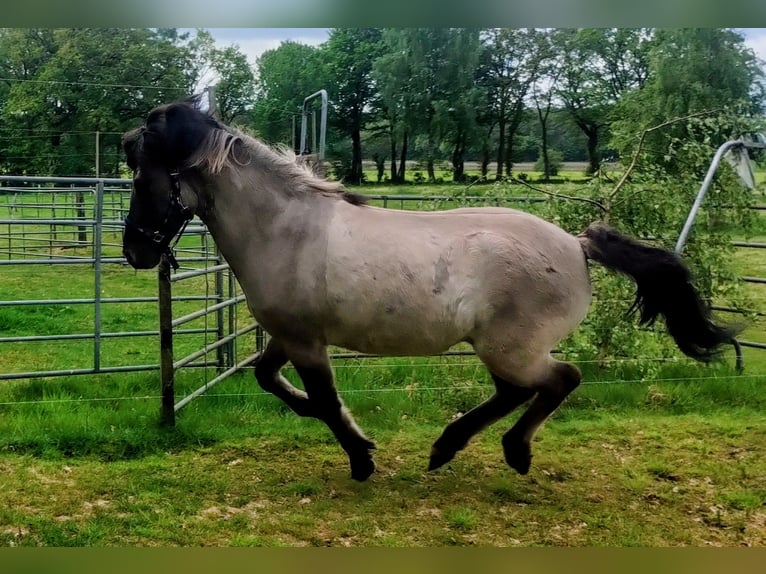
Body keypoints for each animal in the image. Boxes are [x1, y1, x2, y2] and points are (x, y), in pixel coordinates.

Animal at [122, 98, 736, 482]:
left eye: (142, 179)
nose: (135, 253)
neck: (285, 229)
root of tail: (576, 244)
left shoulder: (305, 342)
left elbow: (323, 399)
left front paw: (361, 460)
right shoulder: (290, 336)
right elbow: (272, 381)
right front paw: (359, 438)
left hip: (511, 348)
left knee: (560, 380)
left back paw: (506, 451)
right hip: (500, 349)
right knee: (518, 392)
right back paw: (450, 448)